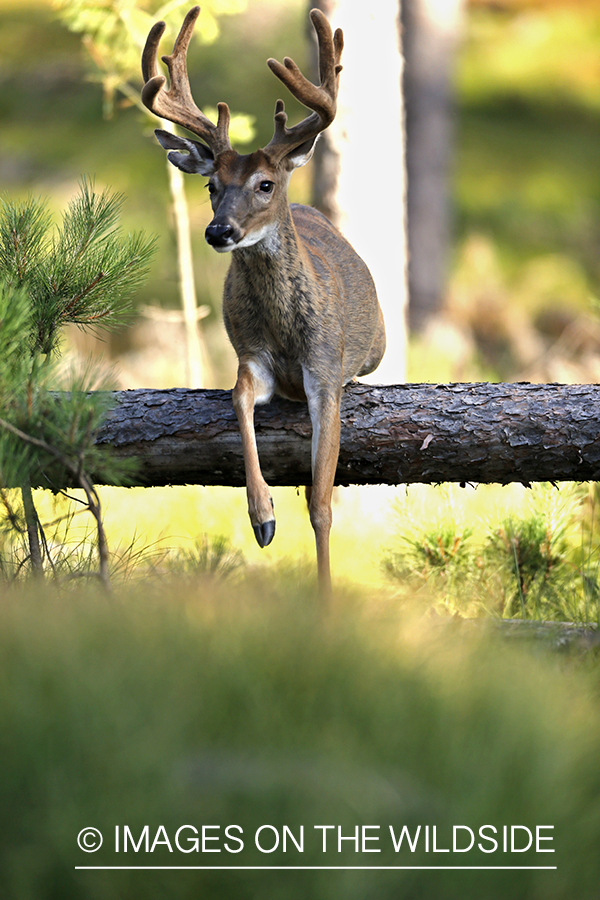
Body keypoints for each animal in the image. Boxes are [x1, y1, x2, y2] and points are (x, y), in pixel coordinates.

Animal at [142, 8, 384, 596]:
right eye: (212, 186)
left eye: (265, 183)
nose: (218, 231)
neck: (285, 330)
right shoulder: (251, 356)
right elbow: (237, 397)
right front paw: (263, 516)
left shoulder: (324, 369)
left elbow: (321, 505)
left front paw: (326, 595)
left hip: (375, 348)